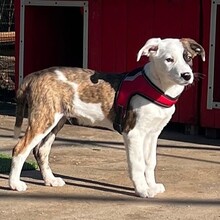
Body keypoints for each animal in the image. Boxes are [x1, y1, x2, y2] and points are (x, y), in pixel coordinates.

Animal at [8, 37, 205, 198]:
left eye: (188, 58)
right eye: (169, 60)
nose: (186, 76)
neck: (158, 86)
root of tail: (34, 75)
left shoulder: (152, 134)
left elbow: (150, 163)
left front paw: (152, 186)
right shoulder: (134, 133)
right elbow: (138, 164)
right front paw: (142, 190)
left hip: (57, 120)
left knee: (41, 150)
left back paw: (50, 180)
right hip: (44, 118)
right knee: (20, 148)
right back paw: (15, 184)